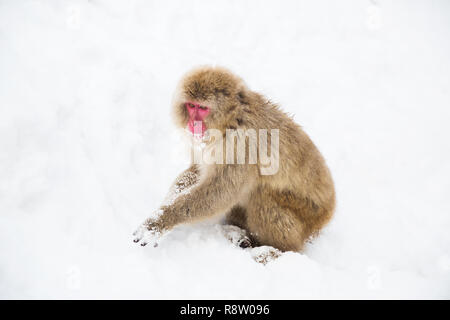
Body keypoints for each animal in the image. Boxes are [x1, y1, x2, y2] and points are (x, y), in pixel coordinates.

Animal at [132, 67, 336, 252]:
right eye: (191, 106)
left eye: (203, 108)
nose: (193, 124)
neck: (230, 123)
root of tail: (328, 214)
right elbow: (196, 170)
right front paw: (160, 209)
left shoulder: (242, 144)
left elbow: (220, 192)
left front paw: (161, 222)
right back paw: (236, 233)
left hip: (307, 215)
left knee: (262, 195)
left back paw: (274, 250)